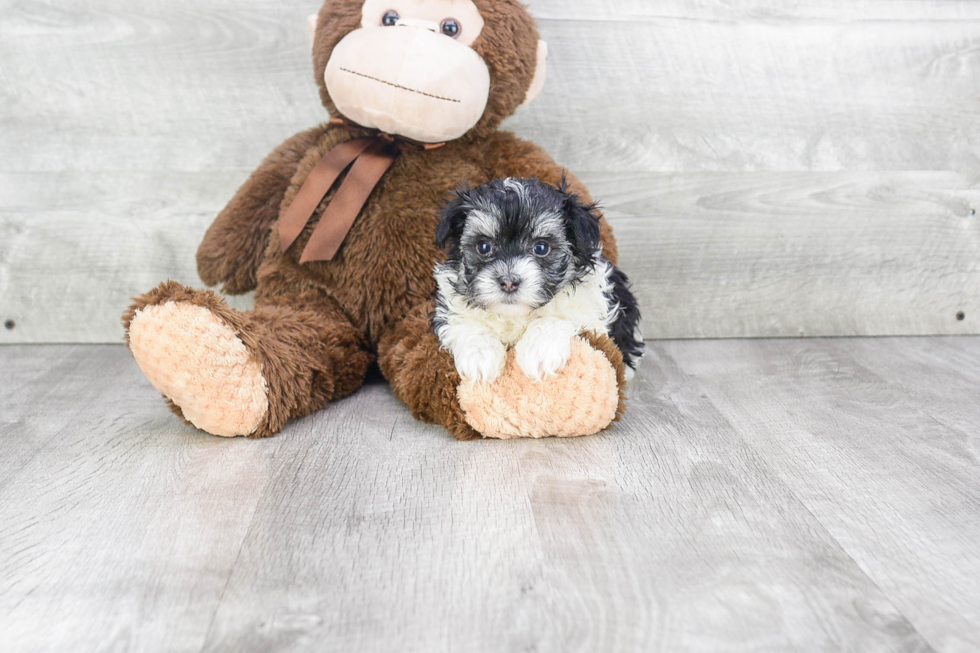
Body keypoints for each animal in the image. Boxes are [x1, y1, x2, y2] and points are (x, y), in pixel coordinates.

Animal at [434, 176, 648, 384]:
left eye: (541, 248)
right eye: (484, 246)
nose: (509, 282)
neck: (515, 315)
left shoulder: (589, 307)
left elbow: (557, 317)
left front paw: (540, 351)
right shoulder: (449, 306)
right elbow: (464, 322)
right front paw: (479, 356)